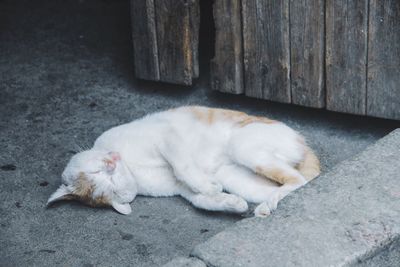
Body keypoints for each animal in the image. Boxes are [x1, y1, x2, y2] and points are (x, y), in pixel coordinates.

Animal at [47, 105, 320, 217]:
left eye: (98, 172)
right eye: (109, 183)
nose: (111, 163)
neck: (133, 168)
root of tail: (302, 140)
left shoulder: (166, 137)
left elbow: (183, 166)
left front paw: (209, 187)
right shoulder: (180, 190)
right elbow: (202, 201)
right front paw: (231, 203)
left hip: (243, 147)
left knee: (299, 179)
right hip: (238, 177)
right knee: (297, 183)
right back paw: (265, 206)